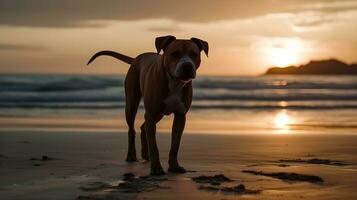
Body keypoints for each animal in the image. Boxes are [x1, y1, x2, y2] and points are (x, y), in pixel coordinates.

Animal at [87, 35, 207, 175]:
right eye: (175, 53)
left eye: (194, 54)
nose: (187, 66)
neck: (174, 82)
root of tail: (137, 58)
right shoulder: (151, 112)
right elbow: (153, 145)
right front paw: (156, 168)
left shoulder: (180, 116)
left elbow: (175, 144)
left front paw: (174, 166)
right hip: (132, 103)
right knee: (132, 129)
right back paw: (131, 155)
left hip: (158, 114)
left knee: (143, 127)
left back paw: (145, 154)